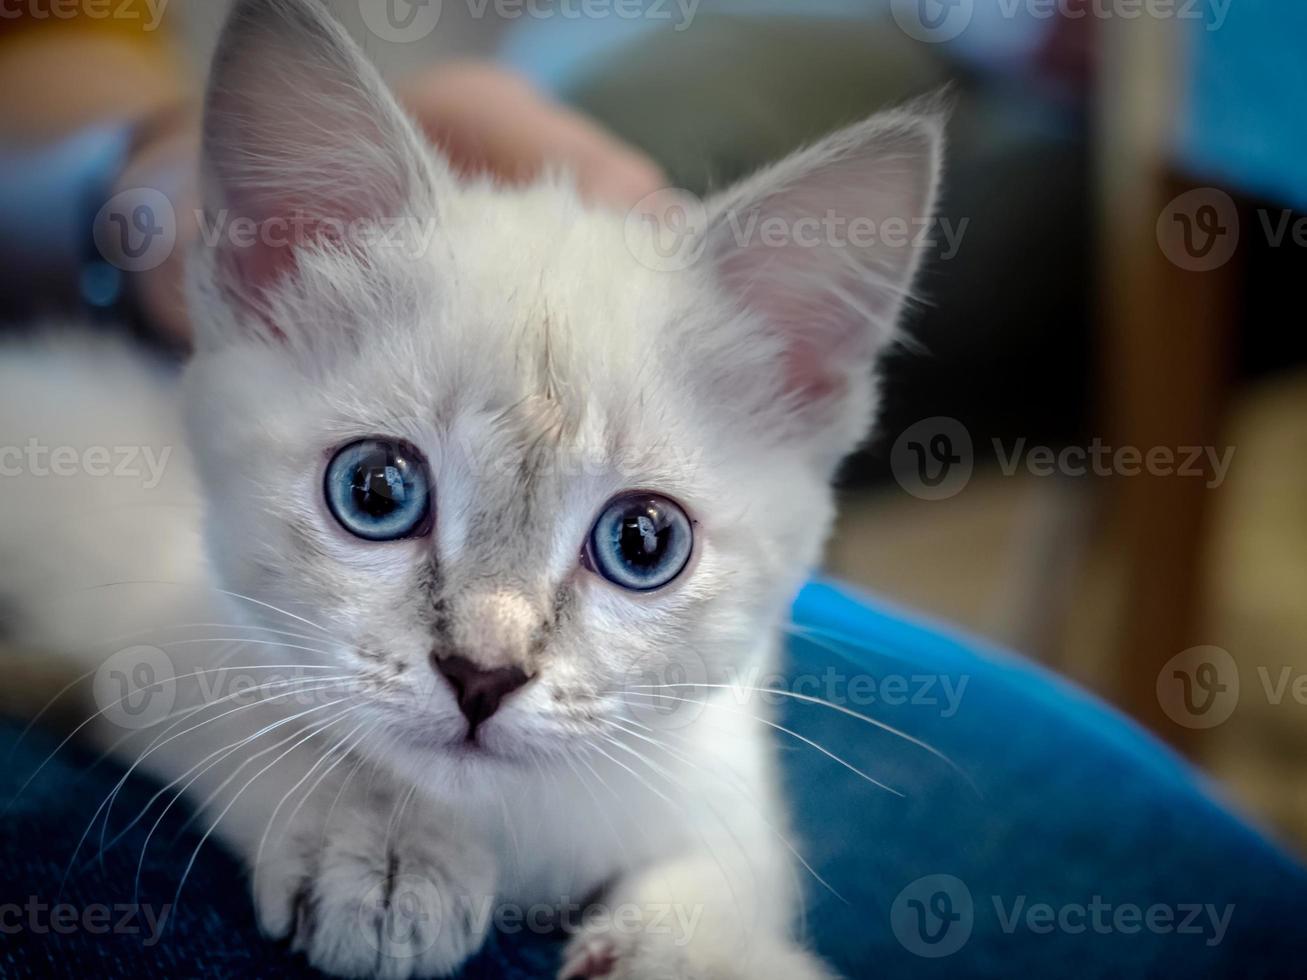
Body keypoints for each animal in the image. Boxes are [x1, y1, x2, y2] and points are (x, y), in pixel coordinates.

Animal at [0, 1, 941, 980]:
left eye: (644, 542)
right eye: (375, 491)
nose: (483, 675)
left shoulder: (724, 745)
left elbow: (739, 858)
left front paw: (690, 949)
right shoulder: (163, 628)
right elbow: (274, 722)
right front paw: (382, 852)